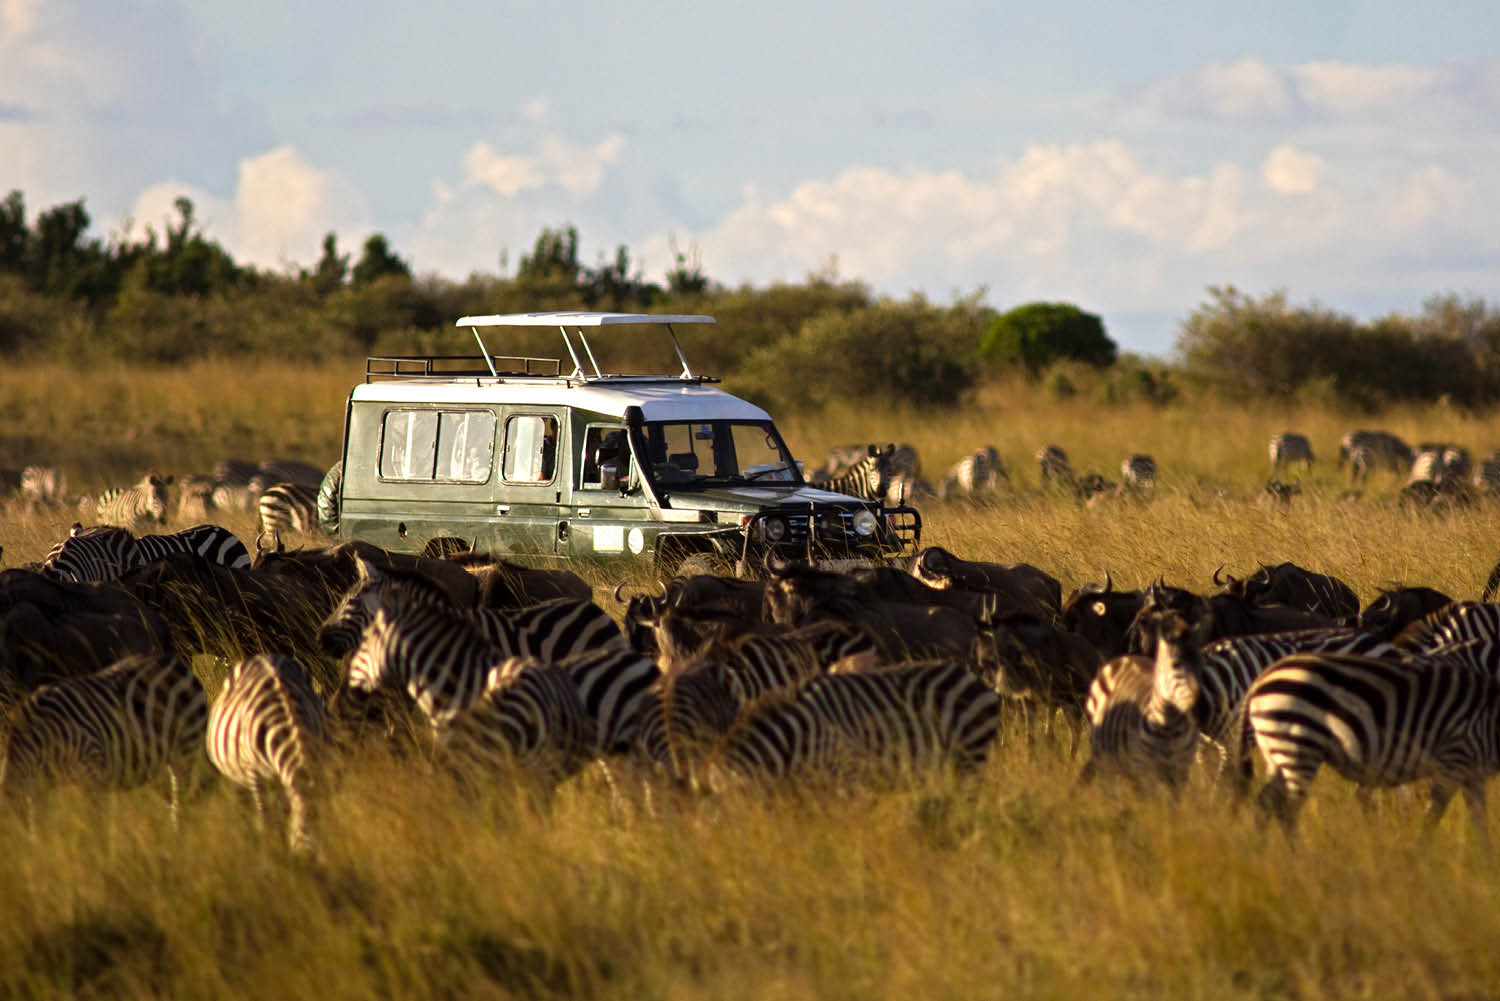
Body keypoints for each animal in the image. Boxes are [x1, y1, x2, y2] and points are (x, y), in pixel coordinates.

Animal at [1, 654, 211, 828]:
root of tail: (178, 664)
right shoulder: (40, 788)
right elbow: (40, 823)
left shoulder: (92, 769)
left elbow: (96, 821)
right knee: (172, 797)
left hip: (185, 748)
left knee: (181, 798)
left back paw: (178, 835)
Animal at [205, 657, 331, 852]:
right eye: (304, 833)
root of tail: (261, 657)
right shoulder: (254, 773)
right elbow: (265, 818)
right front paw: (270, 849)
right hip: (237, 779)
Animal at [1236, 651, 1500, 846]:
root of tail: (1260, 680)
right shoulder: (1455, 759)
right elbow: (1432, 817)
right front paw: (1417, 859)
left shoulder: (1472, 773)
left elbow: (1480, 822)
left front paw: (1485, 866)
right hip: (1298, 745)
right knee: (1288, 812)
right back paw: (1299, 861)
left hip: (1276, 753)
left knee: (1263, 807)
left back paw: (1262, 856)